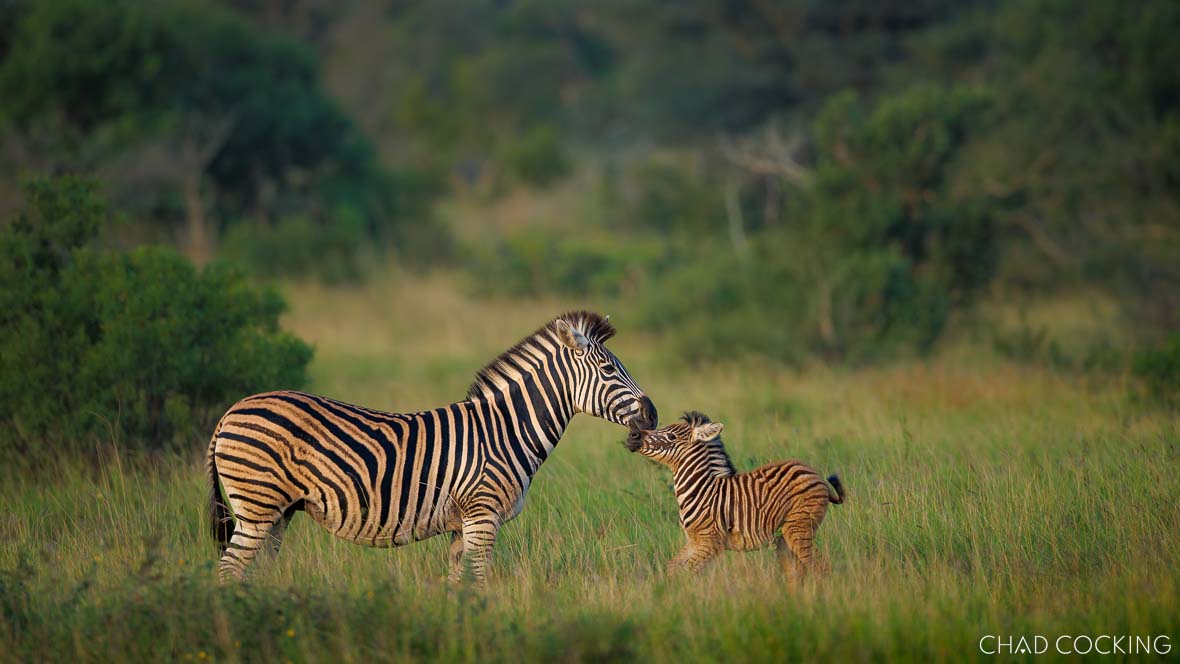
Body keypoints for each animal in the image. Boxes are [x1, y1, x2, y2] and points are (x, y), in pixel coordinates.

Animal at [208, 311, 657, 583]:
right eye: (608, 369)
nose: (652, 415)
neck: (505, 430)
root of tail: (229, 413)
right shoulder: (482, 516)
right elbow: (480, 584)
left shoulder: (461, 525)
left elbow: (459, 587)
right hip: (257, 508)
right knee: (228, 572)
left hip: (277, 513)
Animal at [625, 412, 844, 584]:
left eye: (670, 436)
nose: (632, 435)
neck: (702, 490)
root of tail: (814, 473)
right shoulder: (694, 541)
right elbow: (673, 568)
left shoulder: (710, 541)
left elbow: (687, 572)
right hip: (785, 535)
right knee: (797, 572)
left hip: (798, 527)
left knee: (821, 567)